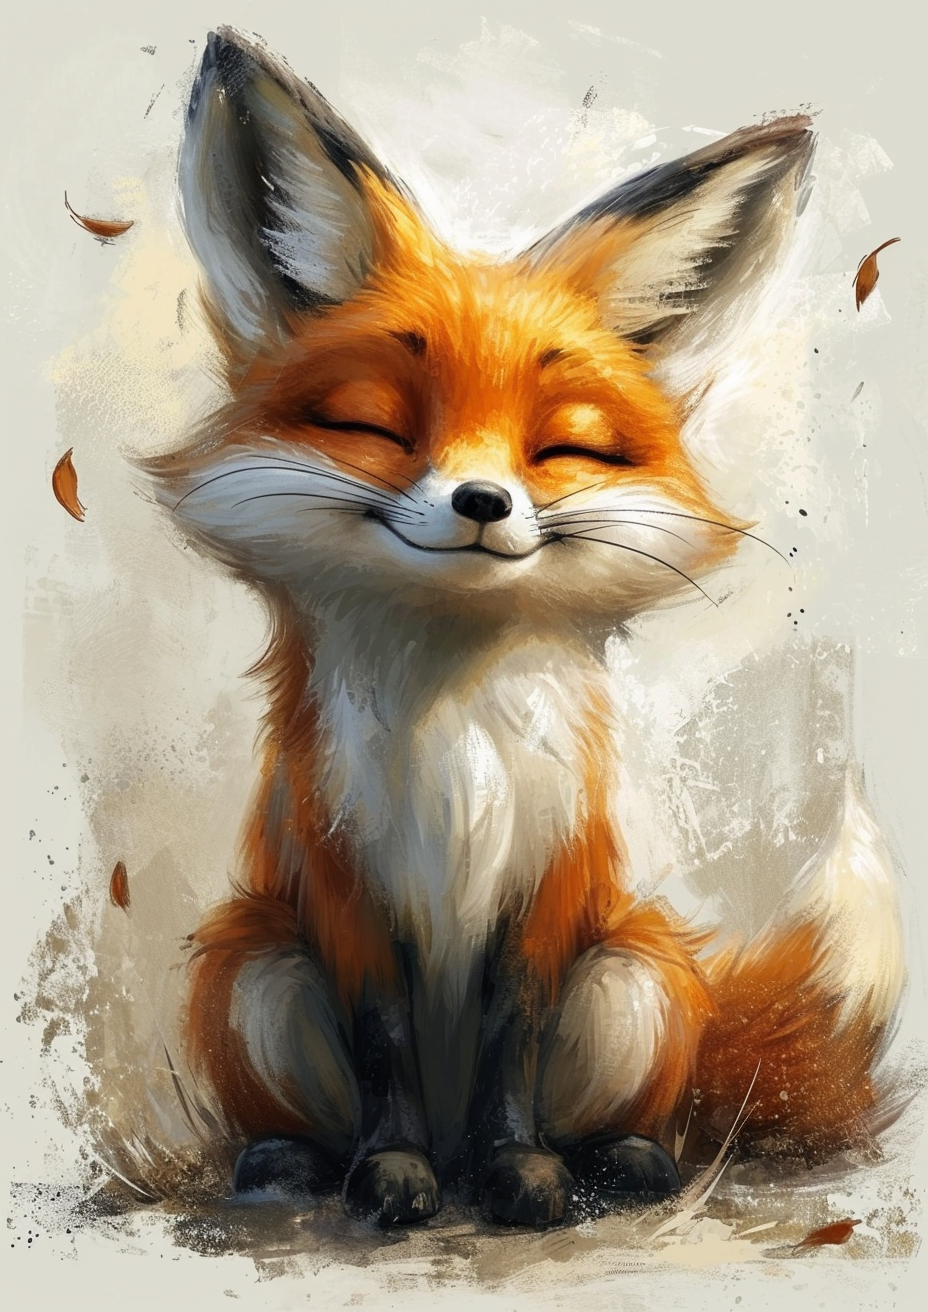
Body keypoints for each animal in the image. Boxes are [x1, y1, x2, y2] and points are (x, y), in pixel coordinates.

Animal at [147, 28, 905, 1228]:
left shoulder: (547, 882)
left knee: (639, 1111)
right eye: (376, 425)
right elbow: (383, 1037)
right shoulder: (341, 877)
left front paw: (523, 1175)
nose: (480, 501)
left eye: (565, 448)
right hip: (254, 972)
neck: (456, 735)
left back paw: (618, 1163)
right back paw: (296, 1163)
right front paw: (392, 1173)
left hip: (635, 978)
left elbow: (515, 1035)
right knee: (307, 1106)